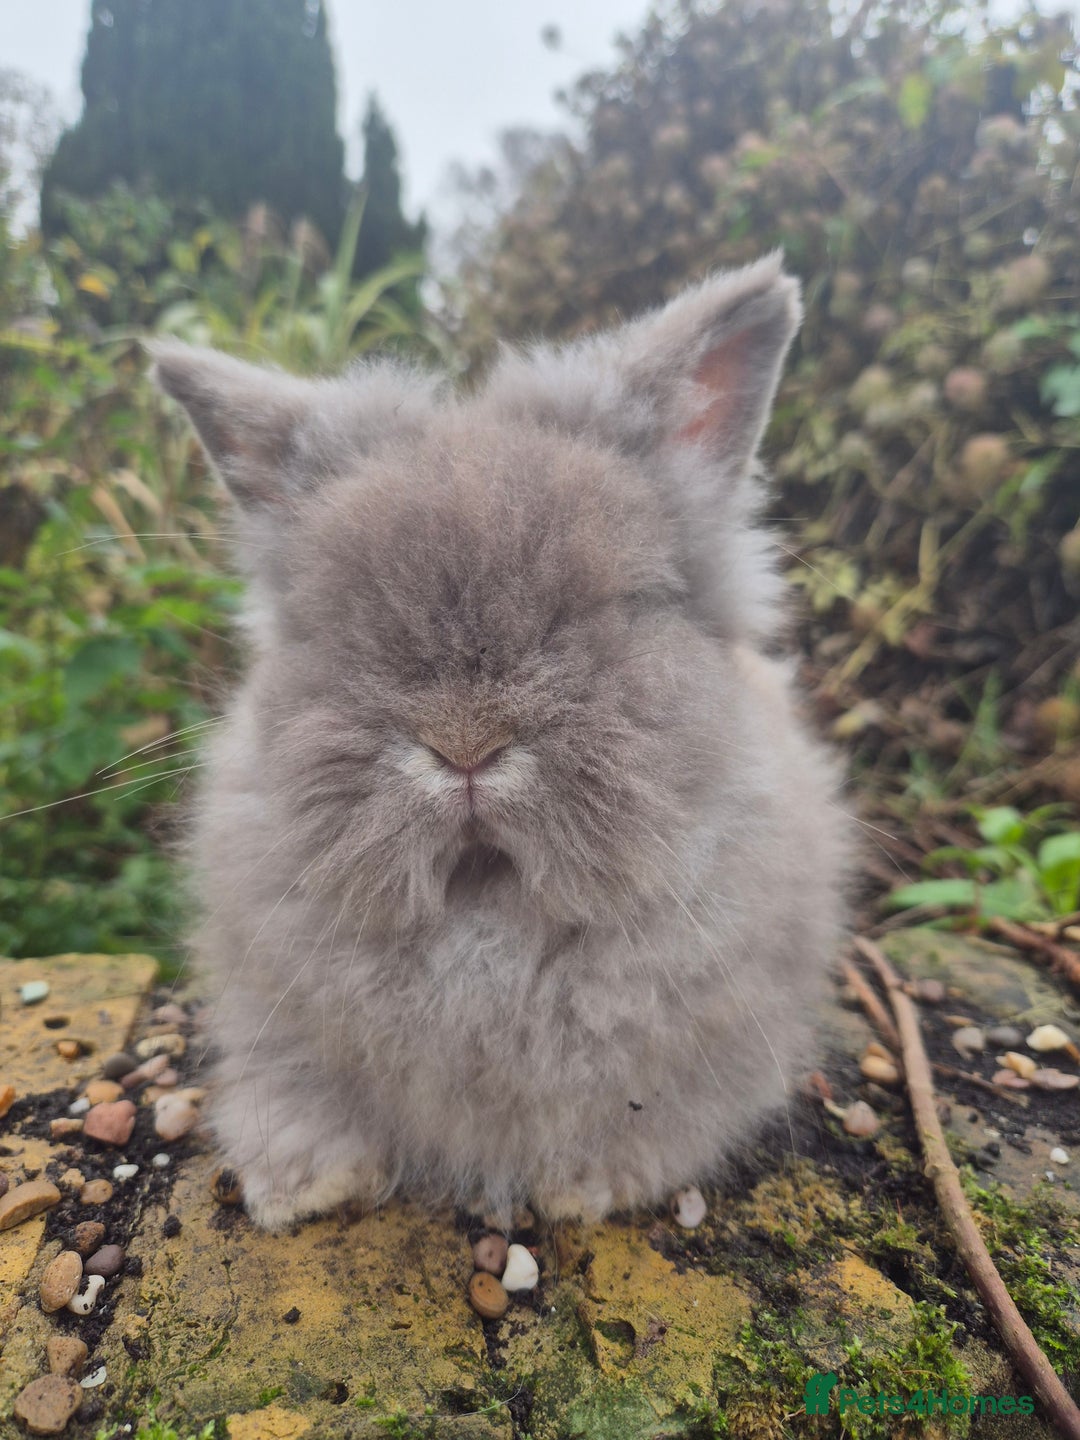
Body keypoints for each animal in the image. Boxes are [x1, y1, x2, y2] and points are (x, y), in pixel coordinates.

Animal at [150, 252, 849, 1232]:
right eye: (339, 627)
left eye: (615, 608)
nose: (465, 745)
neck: (487, 921)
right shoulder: (267, 1008)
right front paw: (294, 1190)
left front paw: (584, 1191)